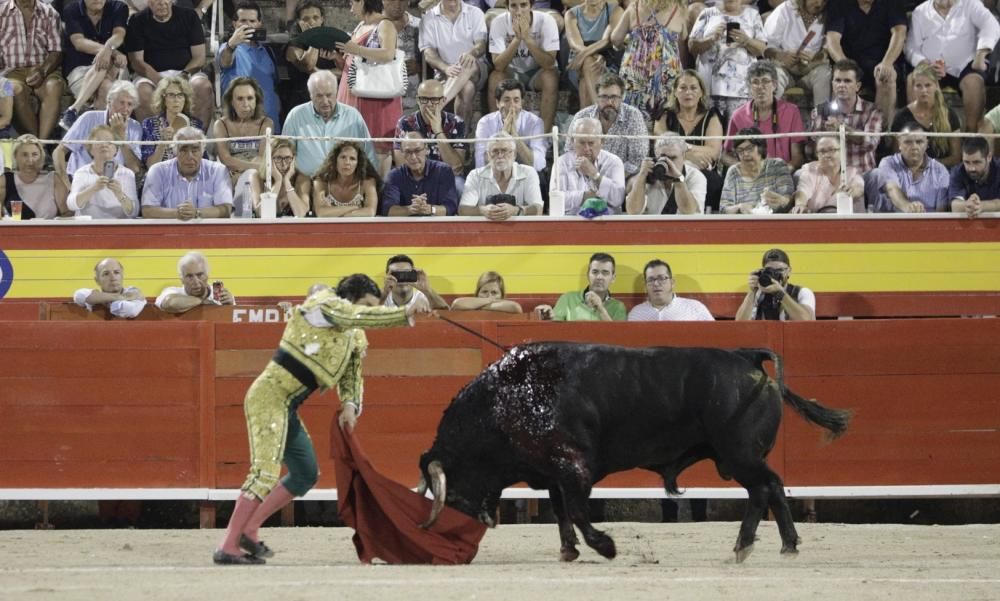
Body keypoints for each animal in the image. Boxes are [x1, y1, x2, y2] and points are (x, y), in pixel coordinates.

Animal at [418, 342, 848, 564]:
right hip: (740, 457)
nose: (457, 548)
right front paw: (569, 550)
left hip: (739, 454)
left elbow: (577, 511)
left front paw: (605, 547)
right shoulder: (555, 473)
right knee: (772, 487)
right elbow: (562, 513)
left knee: (763, 488)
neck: (504, 401)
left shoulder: (573, 466)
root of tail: (745, 357)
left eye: (452, 495)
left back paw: (744, 547)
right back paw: (787, 546)